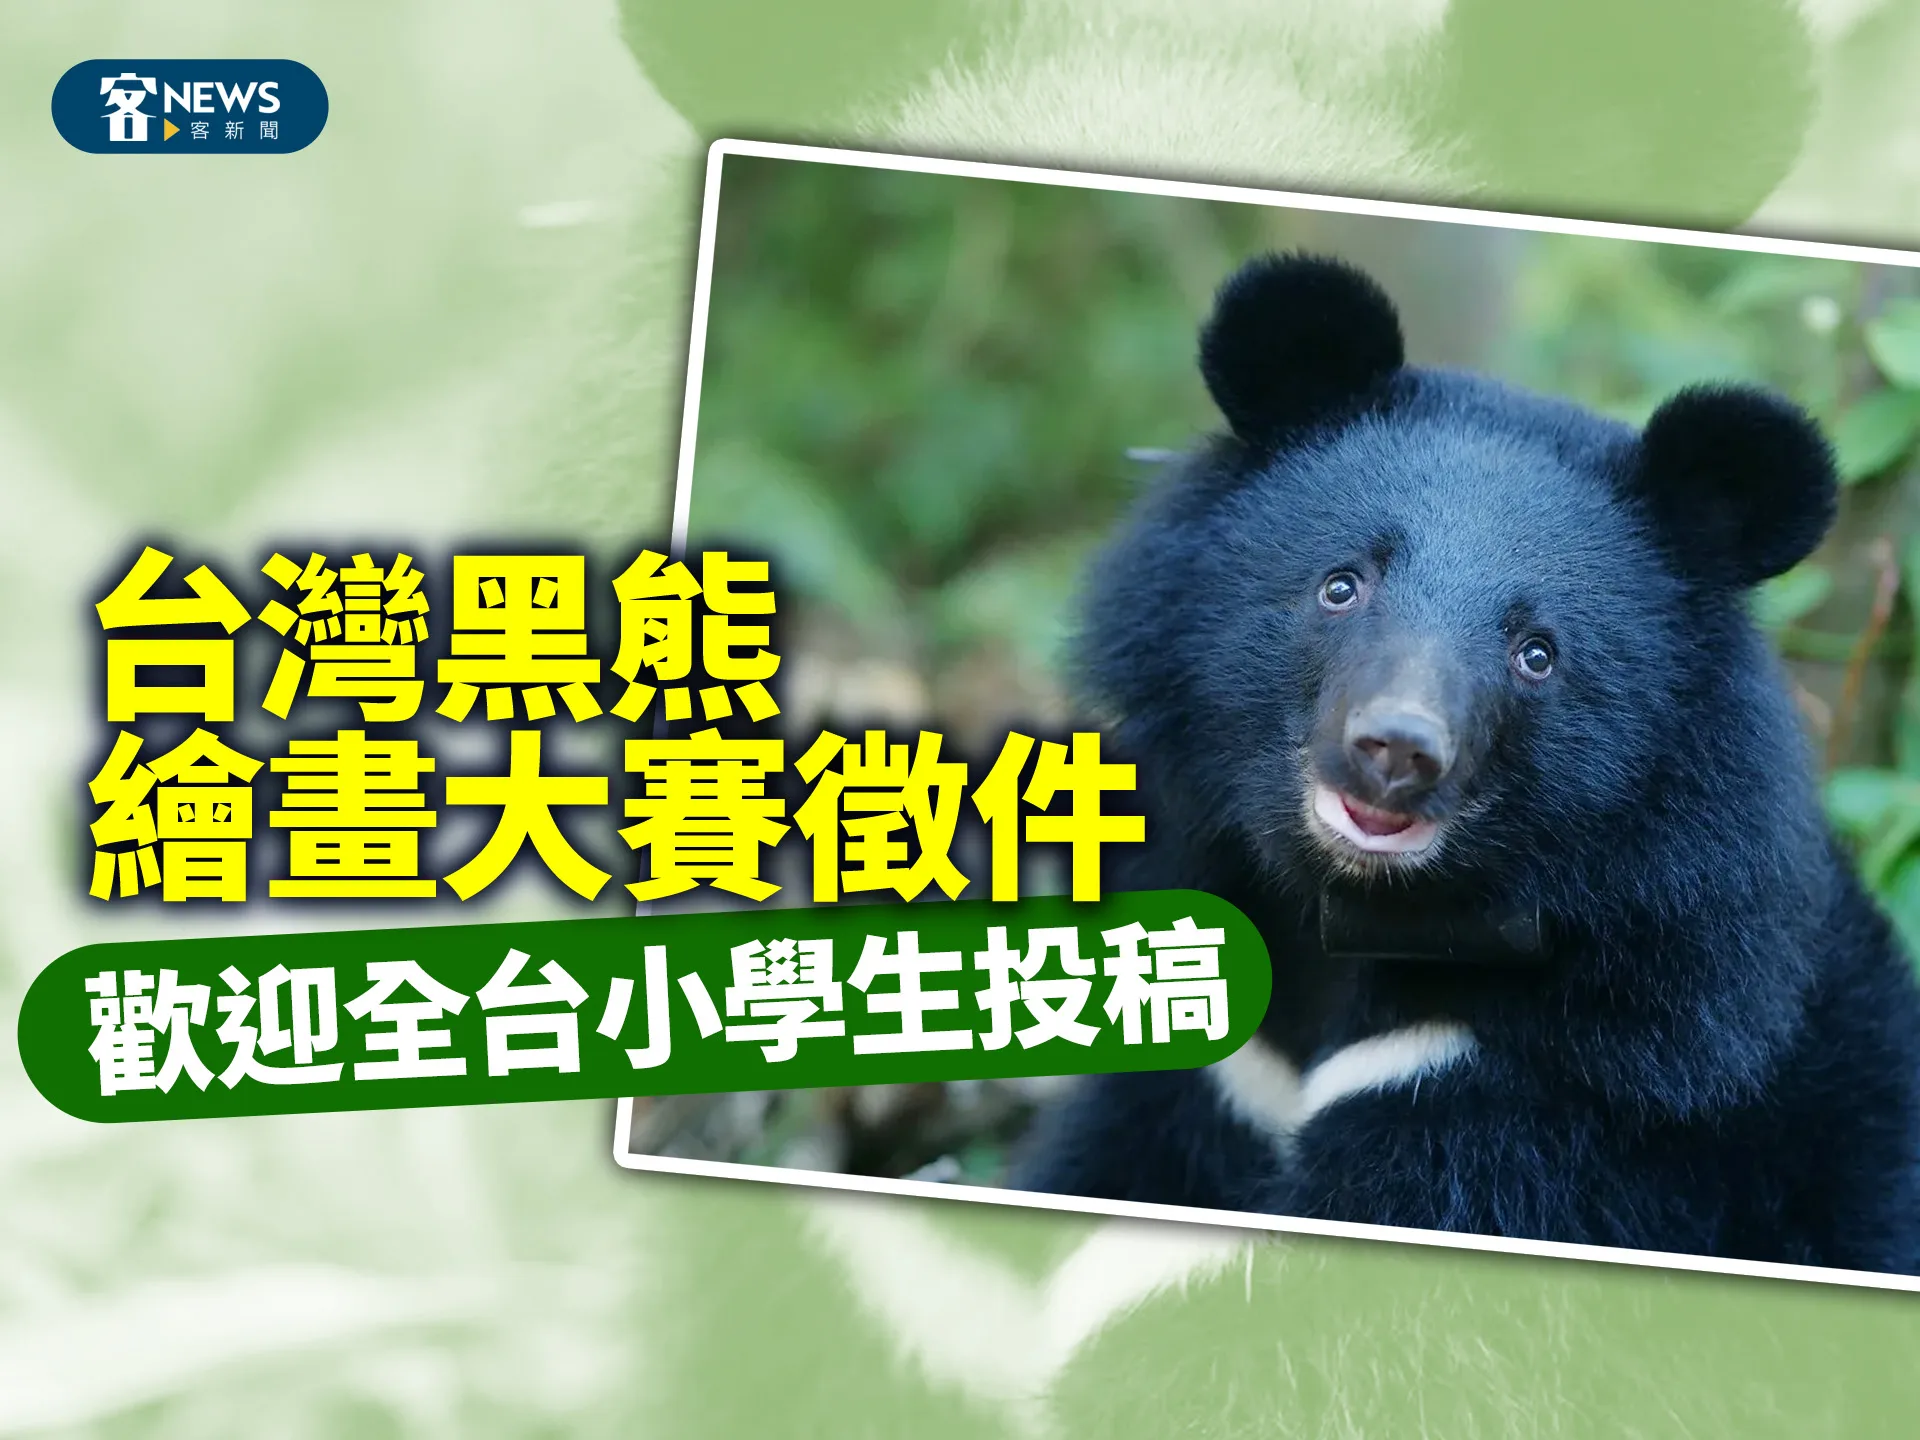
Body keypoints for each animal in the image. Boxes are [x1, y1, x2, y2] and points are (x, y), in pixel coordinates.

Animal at [1007, 251, 1920, 1275]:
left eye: (1538, 654)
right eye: (1341, 585)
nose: (1396, 751)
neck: (1360, 921)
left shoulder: (1554, 1092)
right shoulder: (1228, 1068)